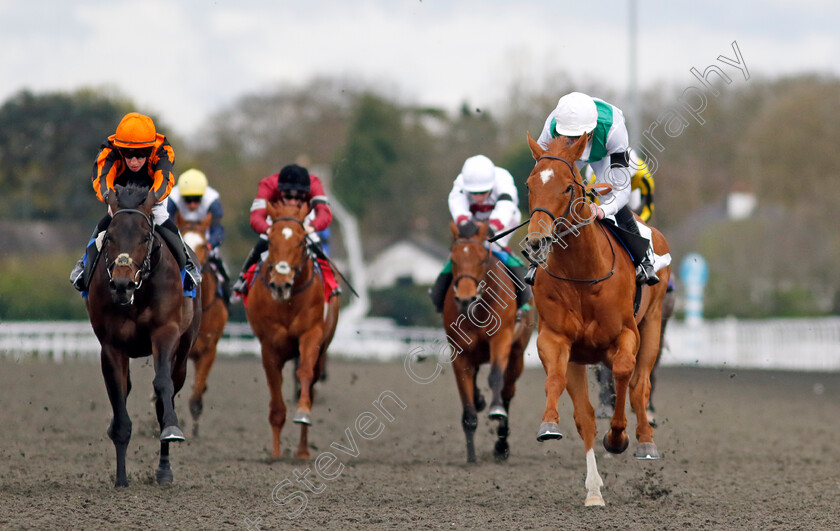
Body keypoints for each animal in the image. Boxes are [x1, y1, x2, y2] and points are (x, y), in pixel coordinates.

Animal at [86, 184, 201, 486]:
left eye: (146, 236)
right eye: (110, 237)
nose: (122, 284)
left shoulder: (165, 332)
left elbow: (162, 386)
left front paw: (172, 429)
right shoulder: (112, 346)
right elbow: (119, 402)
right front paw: (121, 479)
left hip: (184, 352)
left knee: (168, 392)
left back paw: (164, 469)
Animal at [243, 202, 338, 460]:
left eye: (300, 242)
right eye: (271, 241)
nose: (280, 283)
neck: (287, 301)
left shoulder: (311, 335)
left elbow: (304, 372)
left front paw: (303, 412)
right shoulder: (268, 345)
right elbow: (275, 392)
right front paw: (275, 453)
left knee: (312, 382)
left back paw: (303, 450)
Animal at [524, 133, 668, 508]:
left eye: (566, 187)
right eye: (530, 184)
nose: (536, 242)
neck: (581, 273)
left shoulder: (626, 335)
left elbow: (624, 374)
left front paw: (617, 437)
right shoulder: (556, 339)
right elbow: (559, 386)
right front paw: (549, 425)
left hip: (653, 325)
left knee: (640, 384)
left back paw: (645, 441)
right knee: (586, 415)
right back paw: (593, 490)